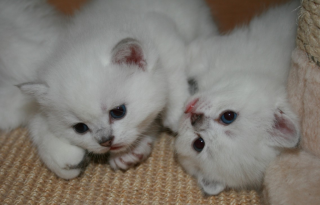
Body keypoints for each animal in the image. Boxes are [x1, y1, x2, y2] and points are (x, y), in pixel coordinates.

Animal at [0, 0, 218, 179]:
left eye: (118, 112)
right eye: (80, 128)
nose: (105, 141)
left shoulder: (166, 35)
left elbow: (173, 78)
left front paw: (175, 115)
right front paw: (128, 153)